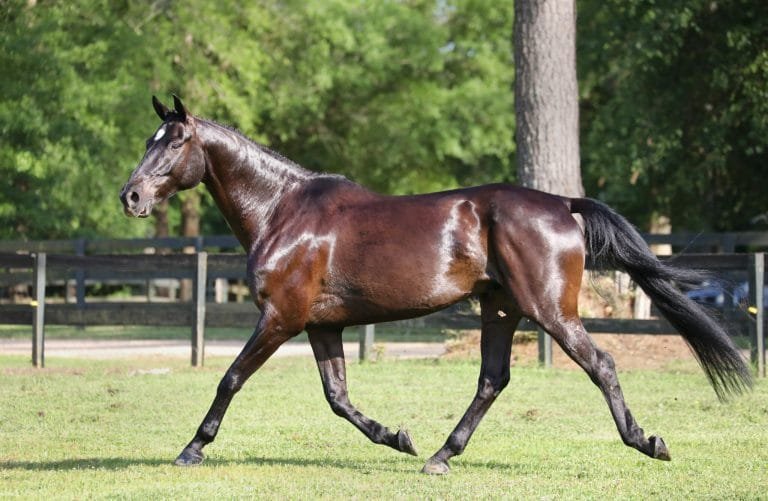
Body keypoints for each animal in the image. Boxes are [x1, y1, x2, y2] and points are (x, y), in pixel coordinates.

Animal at [120, 96, 751, 474]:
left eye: (174, 141)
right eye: (149, 139)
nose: (131, 196)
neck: (283, 211)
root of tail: (561, 203)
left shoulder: (281, 318)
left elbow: (229, 378)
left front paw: (191, 449)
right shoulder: (322, 326)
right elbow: (338, 398)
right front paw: (397, 437)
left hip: (550, 311)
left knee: (601, 364)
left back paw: (647, 441)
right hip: (500, 310)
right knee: (492, 380)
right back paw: (441, 455)